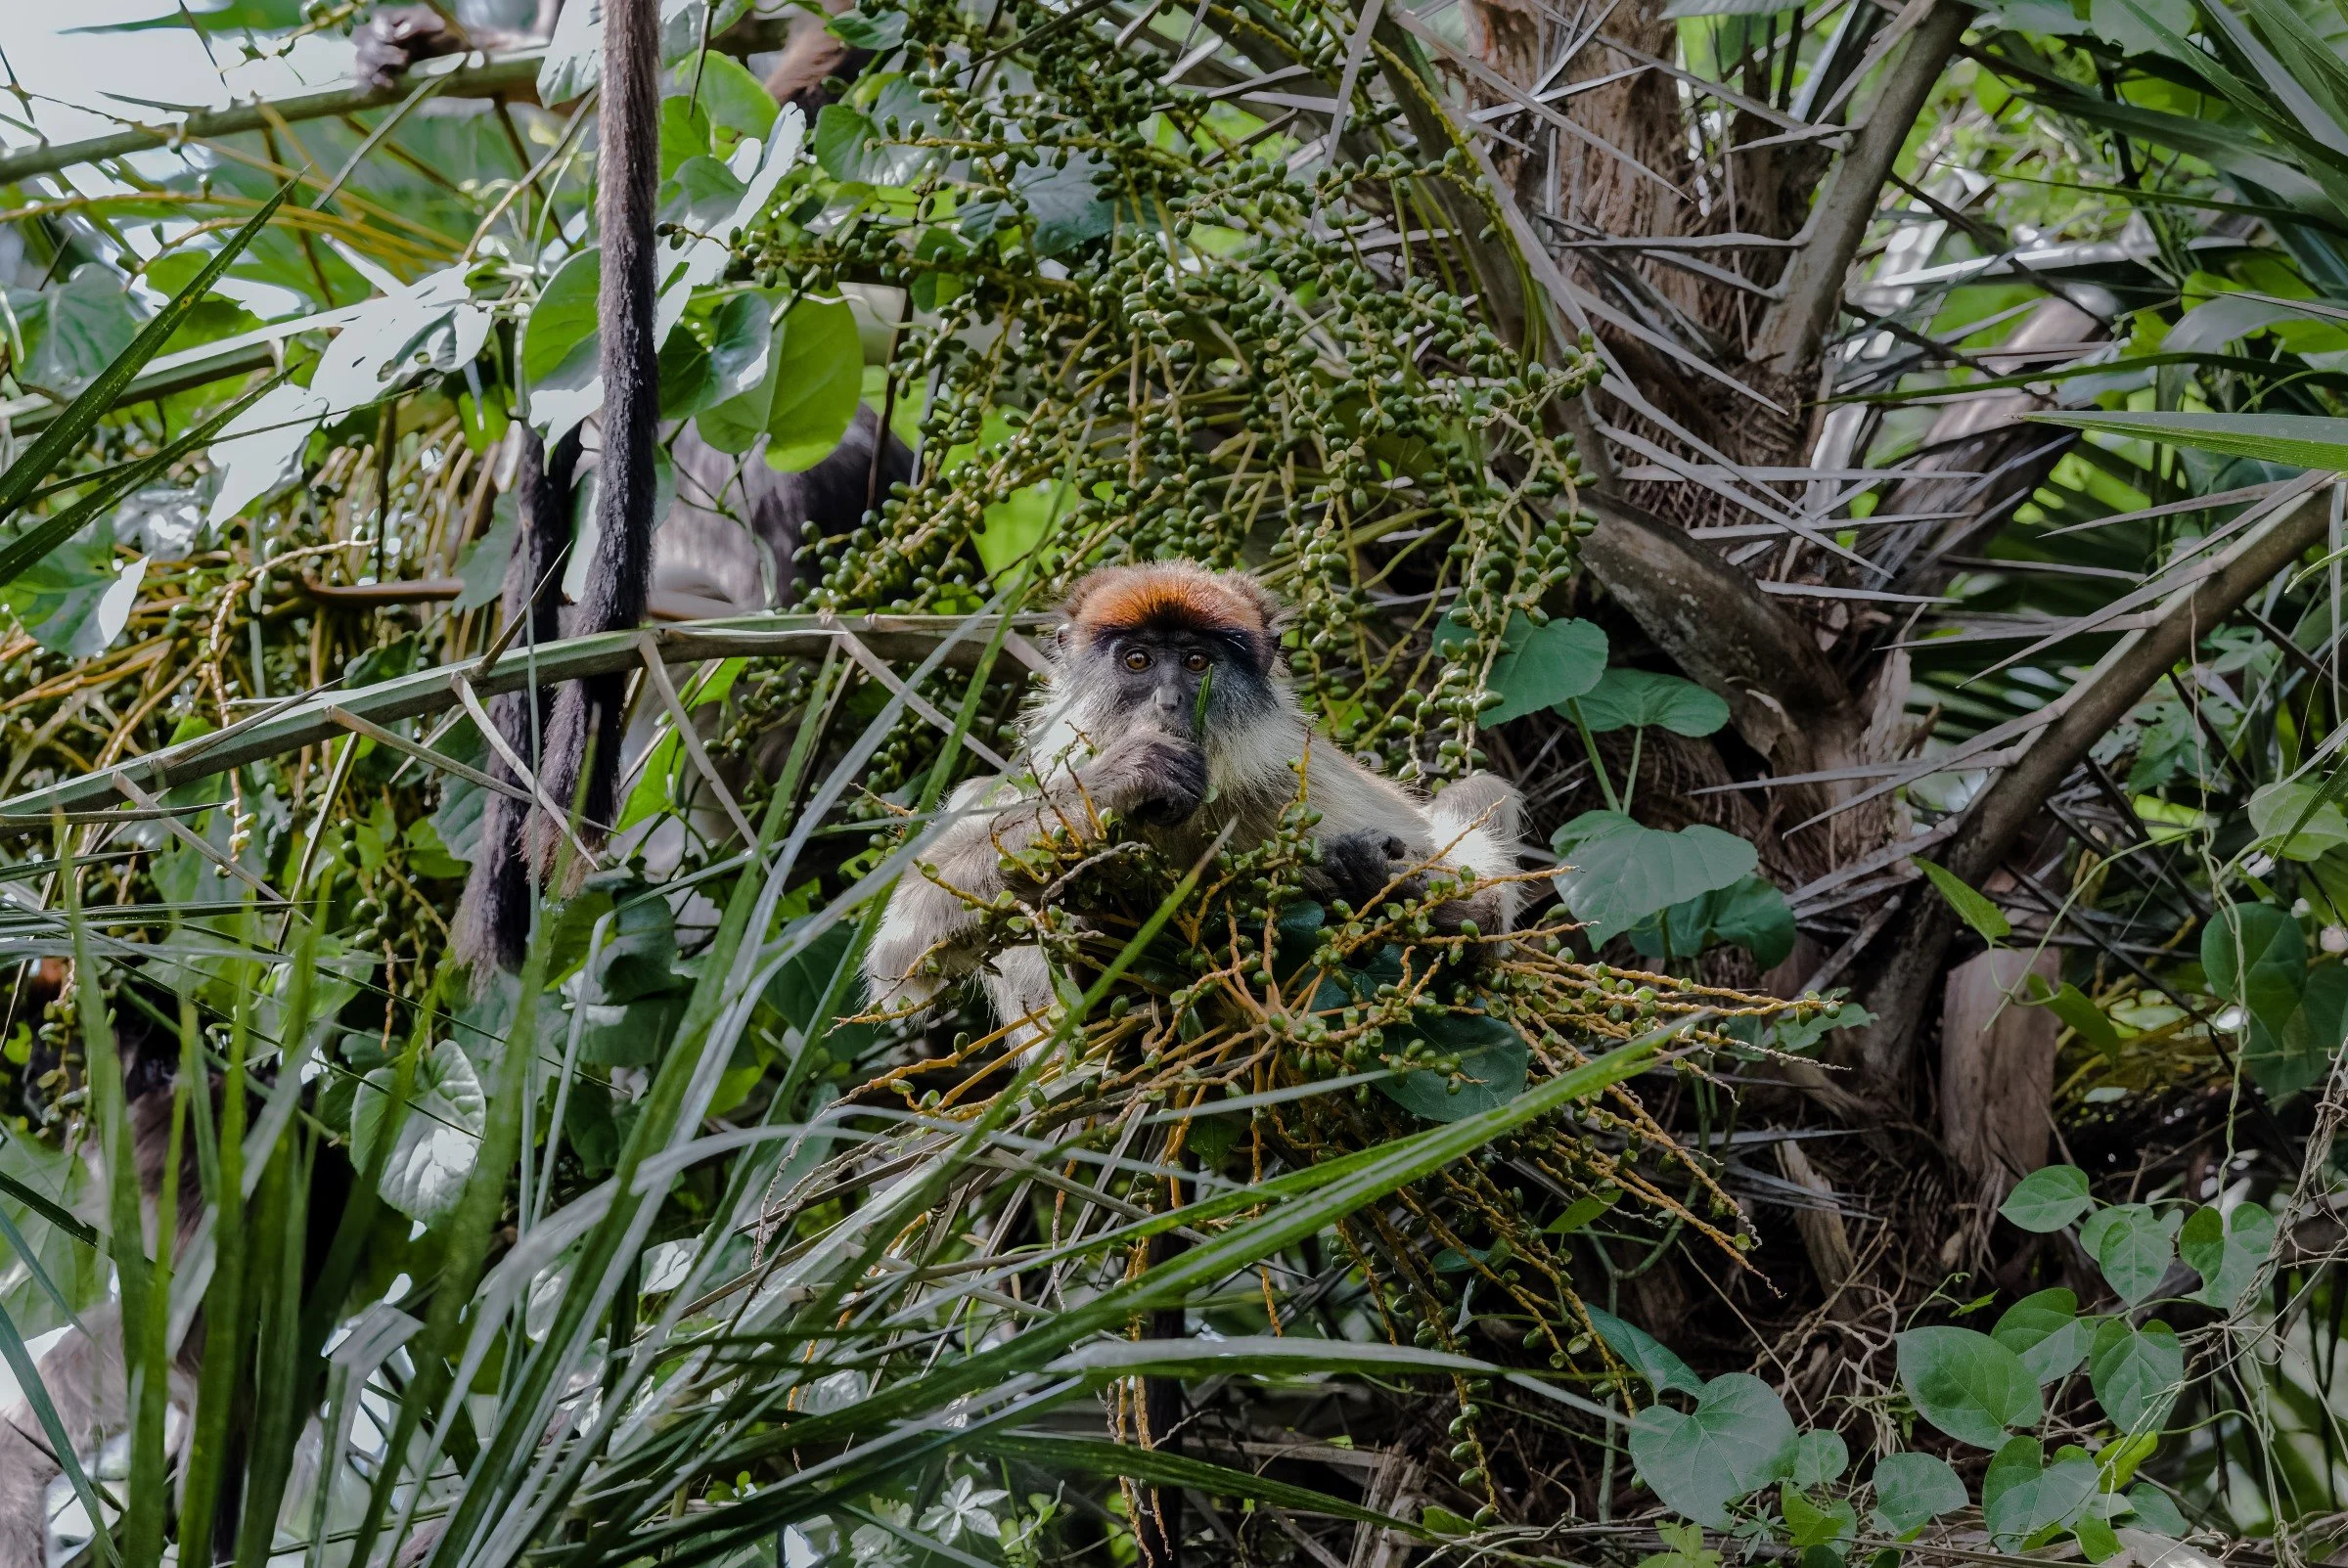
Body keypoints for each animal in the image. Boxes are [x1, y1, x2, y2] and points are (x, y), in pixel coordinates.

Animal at [863, 563, 1526, 1044]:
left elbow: (1480, 909)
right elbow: (907, 943)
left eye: (1197, 662)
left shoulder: (1293, 793)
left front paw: (1408, 891)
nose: (1169, 702)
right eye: (1138, 661)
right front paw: (1130, 772)